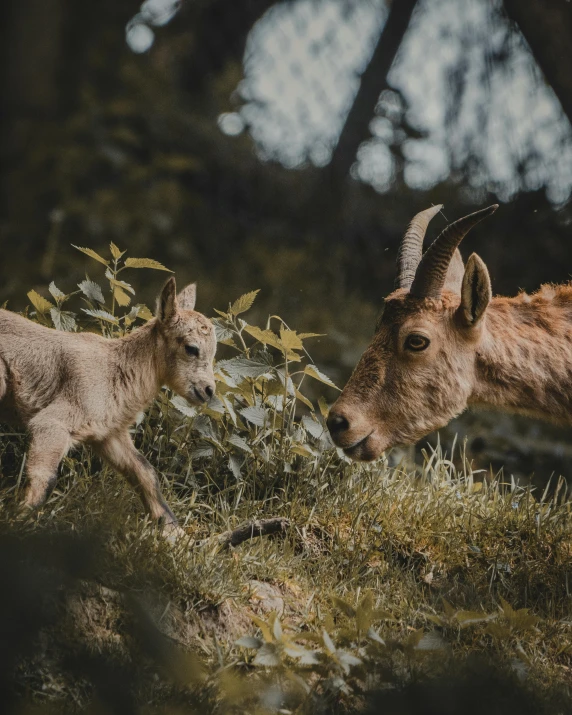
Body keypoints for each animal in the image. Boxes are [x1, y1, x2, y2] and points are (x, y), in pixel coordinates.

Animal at [0, 276, 214, 528]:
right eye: (191, 348)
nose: (209, 390)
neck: (115, 369)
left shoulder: (109, 435)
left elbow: (146, 473)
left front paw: (171, 530)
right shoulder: (53, 422)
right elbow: (45, 477)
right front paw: (19, 520)